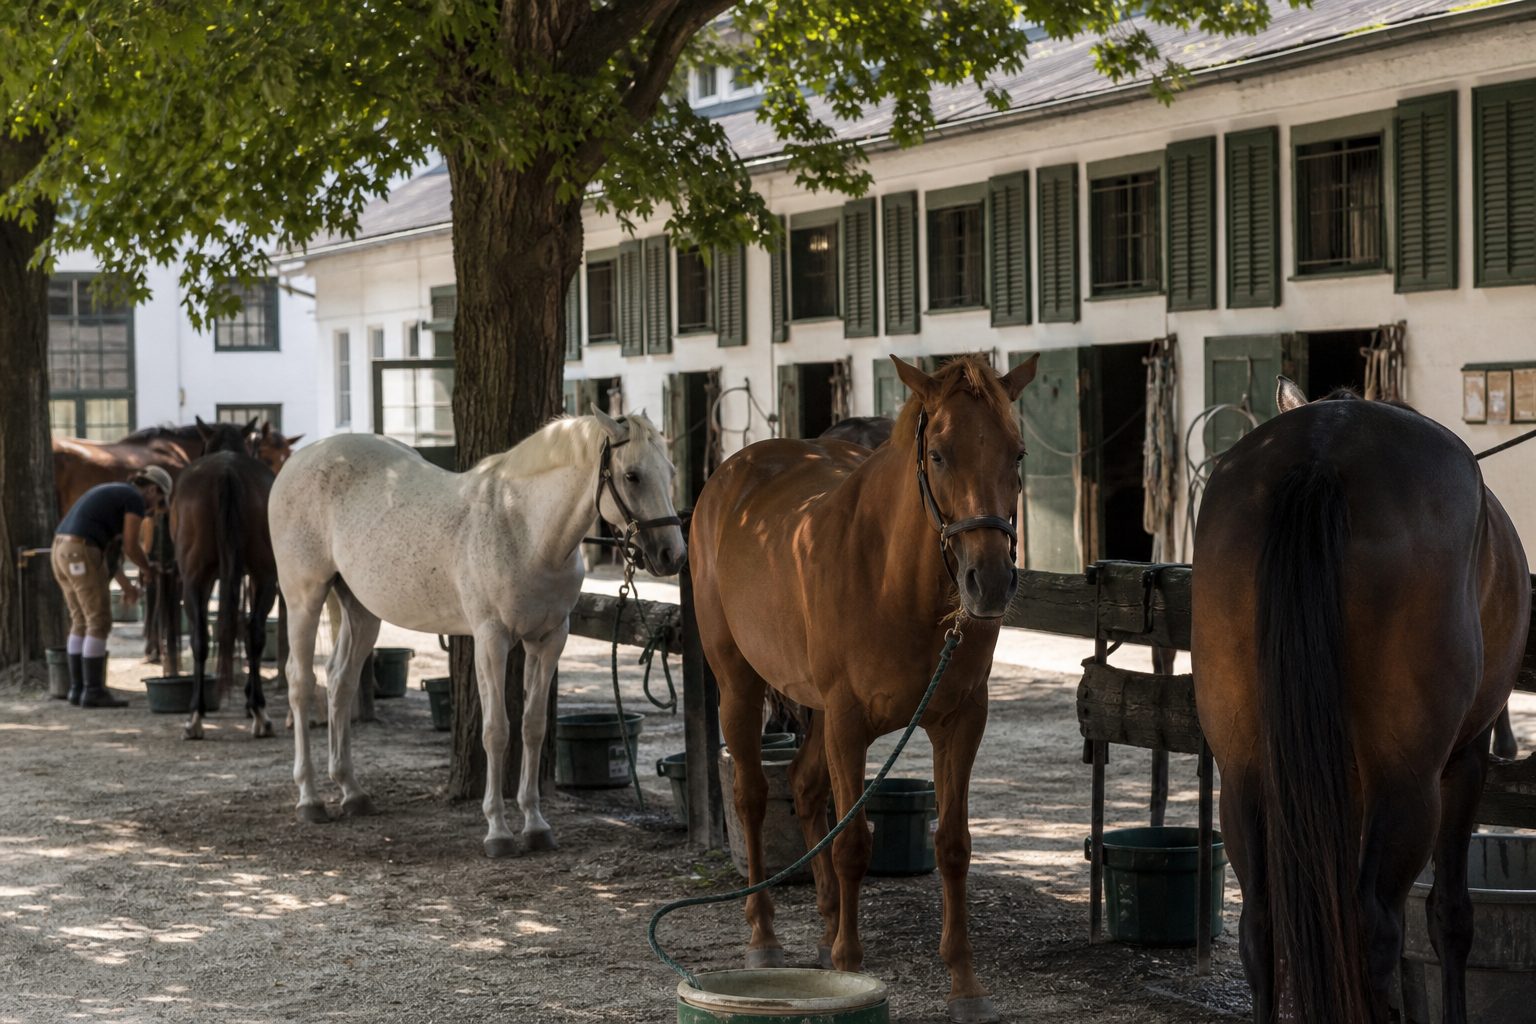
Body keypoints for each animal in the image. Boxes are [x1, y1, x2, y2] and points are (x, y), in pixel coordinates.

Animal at [170, 445, 280, 740]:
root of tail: (226, 471)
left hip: (196, 579)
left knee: (203, 638)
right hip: (264, 576)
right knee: (252, 634)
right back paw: (256, 712)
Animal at [268, 409, 686, 856]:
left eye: (670, 471)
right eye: (632, 476)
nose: (672, 555)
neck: (524, 529)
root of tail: (297, 461)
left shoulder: (549, 640)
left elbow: (533, 727)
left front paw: (535, 825)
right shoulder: (491, 640)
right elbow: (497, 731)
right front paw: (498, 831)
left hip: (361, 611)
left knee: (340, 681)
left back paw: (352, 792)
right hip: (304, 599)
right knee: (301, 683)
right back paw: (310, 799)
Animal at [689, 354, 1038, 1024]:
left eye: (1017, 453)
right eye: (939, 454)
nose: (989, 581)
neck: (894, 577)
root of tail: (735, 474)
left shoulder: (960, 721)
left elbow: (953, 845)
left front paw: (965, 984)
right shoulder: (850, 722)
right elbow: (852, 842)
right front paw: (850, 968)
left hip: (820, 713)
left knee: (804, 787)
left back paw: (827, 926)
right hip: (737, 683)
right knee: (751, 795)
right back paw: (766, 936)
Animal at [1191, 378, 1529, 1024]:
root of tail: (1324, 452)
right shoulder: (1465, 761)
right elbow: (1451, 917)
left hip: (1245, 770)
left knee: (1262, 924)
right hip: (1409, 779)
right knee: (1376, 925)